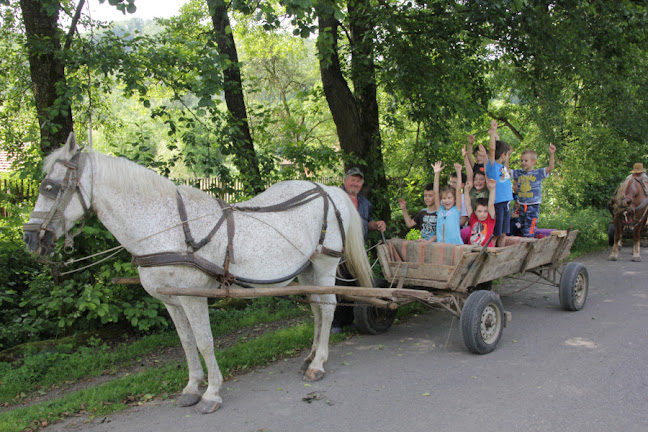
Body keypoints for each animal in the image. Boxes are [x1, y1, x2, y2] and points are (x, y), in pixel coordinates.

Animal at [22, 133, 372, 414]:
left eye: (50, 187)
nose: (30, 238)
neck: (168, 228)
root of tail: (328, 189)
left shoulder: (194, 298)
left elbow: (204, 342)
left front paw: (212, 393)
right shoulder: (171, 301)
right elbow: (187, 343)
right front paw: (192, 388)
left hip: (325, 264)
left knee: (328, 307)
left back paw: (318, 363)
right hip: (305, 269)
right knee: (316, 307)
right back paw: (311, 356)